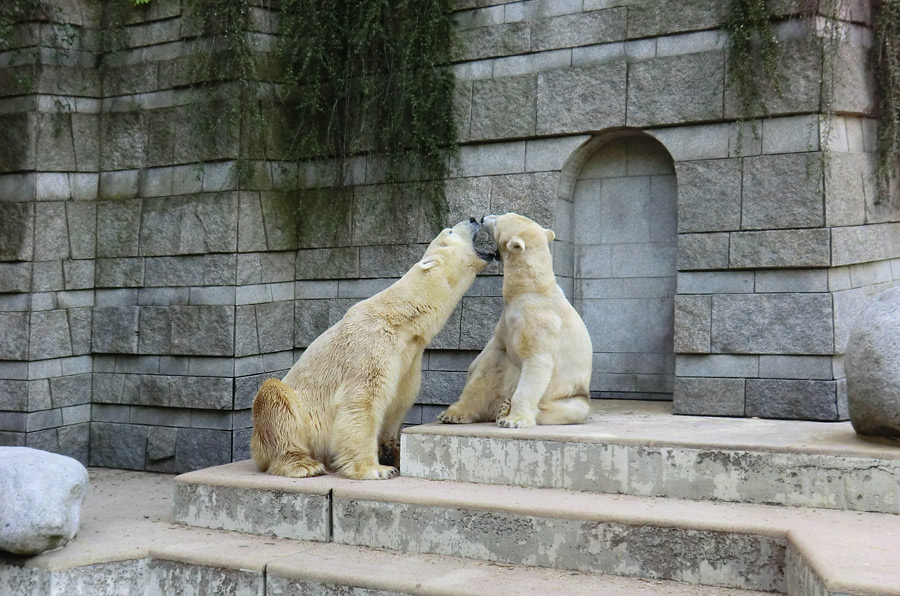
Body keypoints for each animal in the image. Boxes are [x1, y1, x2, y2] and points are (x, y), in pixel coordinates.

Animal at [251, 219, 492, 480]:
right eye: (450, 231)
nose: (473, 219)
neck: (403, 318)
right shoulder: (371, 346)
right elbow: (361, 402)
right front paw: (376, 469)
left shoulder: (409, 360)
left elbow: (397, 403)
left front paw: (392, 453)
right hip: (296, 414)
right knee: (275, 399)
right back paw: (303, 464)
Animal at [440, 212, 596, 426]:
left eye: (497, 222)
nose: (483, 217)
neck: (531, 289)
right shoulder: (507, 319)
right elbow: (492, 350)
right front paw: (469, 371)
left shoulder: (539, 323)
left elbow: (536, 362)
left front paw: (515, 420)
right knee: (491, 366)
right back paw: (457, 413)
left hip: (572, 397)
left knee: (567, 409)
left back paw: (506, 410)